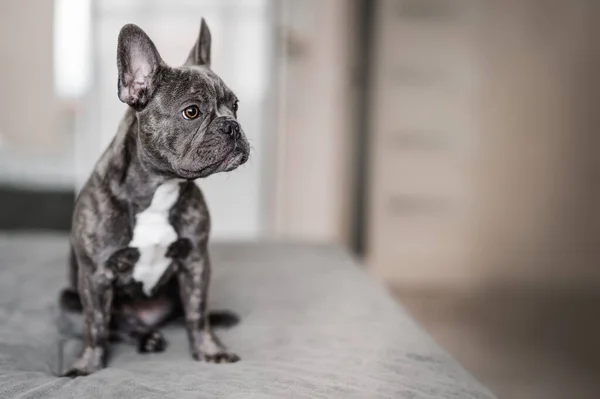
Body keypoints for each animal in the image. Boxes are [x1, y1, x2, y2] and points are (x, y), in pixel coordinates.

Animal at [58, 18, 248, 376]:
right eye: (192, 112)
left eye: (235, 106)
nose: (232, 126)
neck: (161, 188)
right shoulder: (95, 276)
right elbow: (96, 327)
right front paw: (87, 366)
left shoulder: (195, 262)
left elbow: (197, 314)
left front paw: (209, 349)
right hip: (68, 301)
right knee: (117, 327)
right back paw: (146, 338)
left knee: (185, 314)